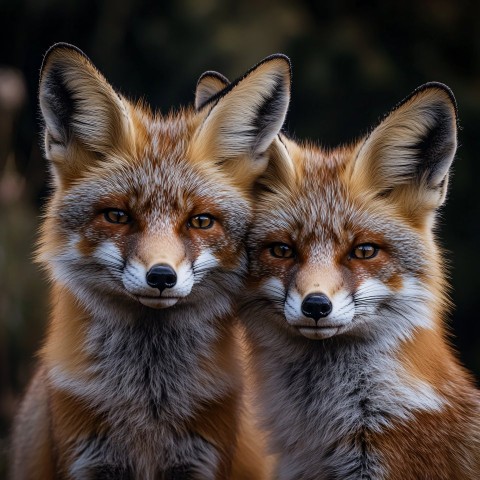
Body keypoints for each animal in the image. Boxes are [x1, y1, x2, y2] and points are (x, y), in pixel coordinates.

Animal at [9, 42, 290, 480]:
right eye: (117, 216)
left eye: (201, 221)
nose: (161, 277)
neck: (149, 408)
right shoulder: (85, 456)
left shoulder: (202, 459)